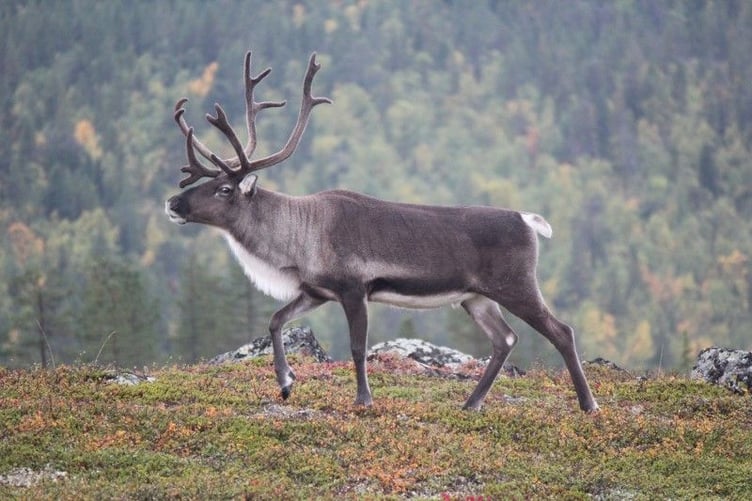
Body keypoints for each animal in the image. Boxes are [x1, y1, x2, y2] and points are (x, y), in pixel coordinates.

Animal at [165, 51, 599, 413]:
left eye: (224, 189)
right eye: (206, 182)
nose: (172, 203)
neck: (296, 242)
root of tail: (528, 219)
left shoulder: (355, 288)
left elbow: (358, 347)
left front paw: (363, 399)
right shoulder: (316, 291)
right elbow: (275, 320)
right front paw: (286, 383)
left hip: (516, 285)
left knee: (562, 331)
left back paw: (588, 404)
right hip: (476, 297)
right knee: (504, 339)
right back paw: (471, 403)